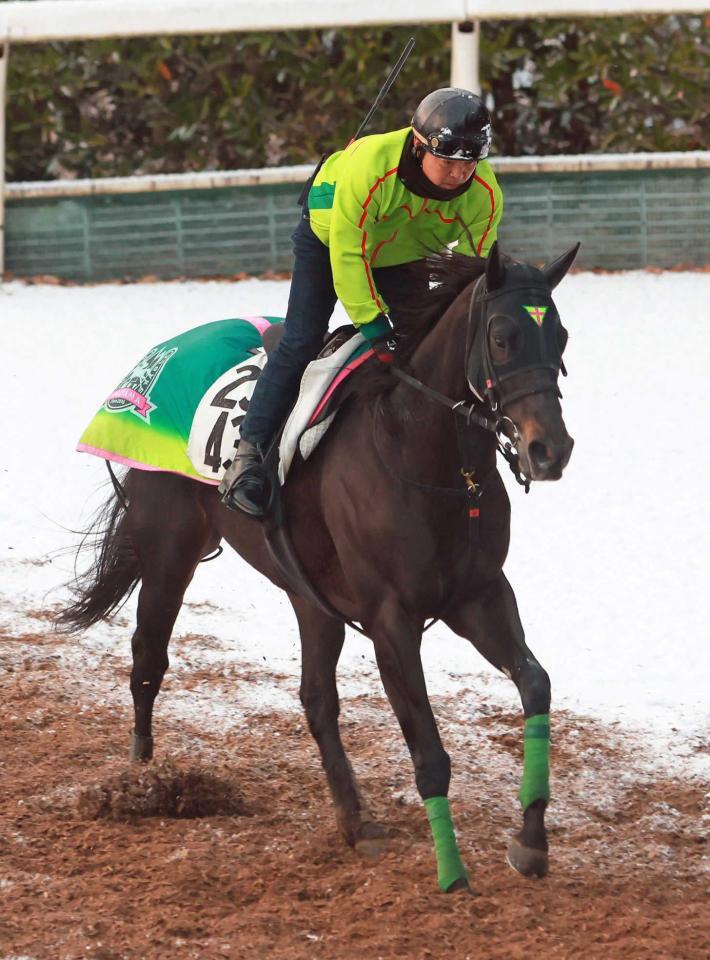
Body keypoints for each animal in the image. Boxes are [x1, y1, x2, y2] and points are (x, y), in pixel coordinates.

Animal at [61, 240, 580, 892]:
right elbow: (430, 753)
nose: (550, 450)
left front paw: (530, 842)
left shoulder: (479, 595)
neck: (427, 458)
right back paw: (141, 778)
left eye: (561, 335)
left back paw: (355, 822)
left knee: (315, 697)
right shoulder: (391, 620)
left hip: (310, 598)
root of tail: (155, 363)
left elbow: (536, 685)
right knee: (148, 660)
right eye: (503, 336)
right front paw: (453, 873)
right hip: (168, 551)